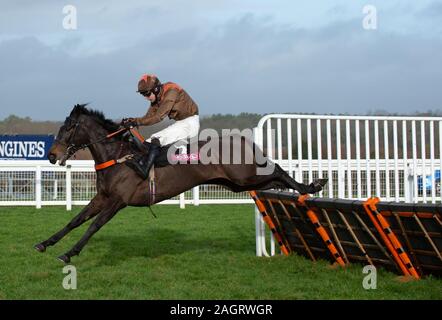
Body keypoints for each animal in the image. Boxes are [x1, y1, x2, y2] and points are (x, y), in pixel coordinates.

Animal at [34, 105, 326, 262]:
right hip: (238, 184)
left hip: (245, 176)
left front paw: (69, 253)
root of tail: (242, 139)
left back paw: (310, 187)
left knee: (277, 170)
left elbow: (93, 226)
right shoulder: (102, 197)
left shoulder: (118, 201)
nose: (52, 155)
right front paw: (46, 243)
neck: (118, 157)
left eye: (68, 128)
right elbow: (75, 220)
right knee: (272, 178)